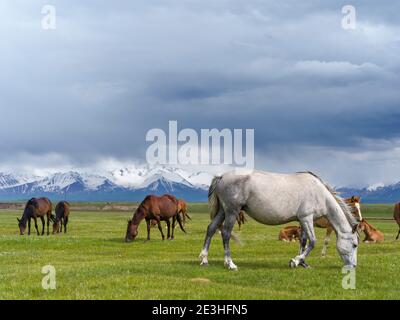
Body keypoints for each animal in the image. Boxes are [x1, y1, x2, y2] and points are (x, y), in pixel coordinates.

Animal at [200, 170, 360, 270]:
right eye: (354, 245)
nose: (353, 266)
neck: (319, 193)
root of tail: (222, 176)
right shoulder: (307, 218)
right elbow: (312, 242)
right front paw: (295, 261)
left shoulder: (302, 220)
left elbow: (304, 241)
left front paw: (302, 263)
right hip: (232, 212)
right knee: (226, 234)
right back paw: (230, 264)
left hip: (223, 211)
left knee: (211, 228)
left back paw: (204, 259)